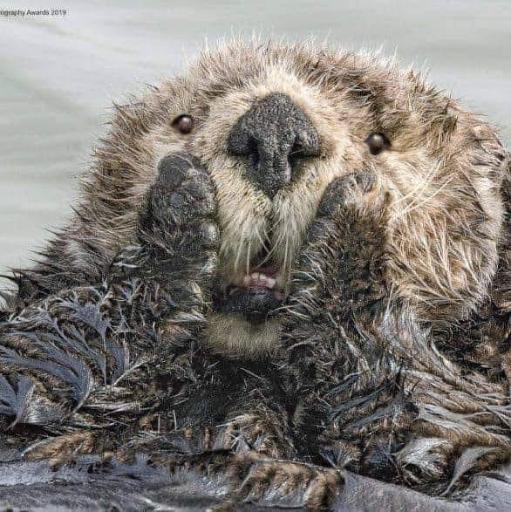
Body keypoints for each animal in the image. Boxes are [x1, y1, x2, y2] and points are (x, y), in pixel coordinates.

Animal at [1, 42, 511, 510]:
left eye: (379, 141)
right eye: (184, 122)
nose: (274, 129)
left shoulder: (477, 418)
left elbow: (444, 427)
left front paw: (356, 217)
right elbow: (25, 363)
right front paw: (177, 210)